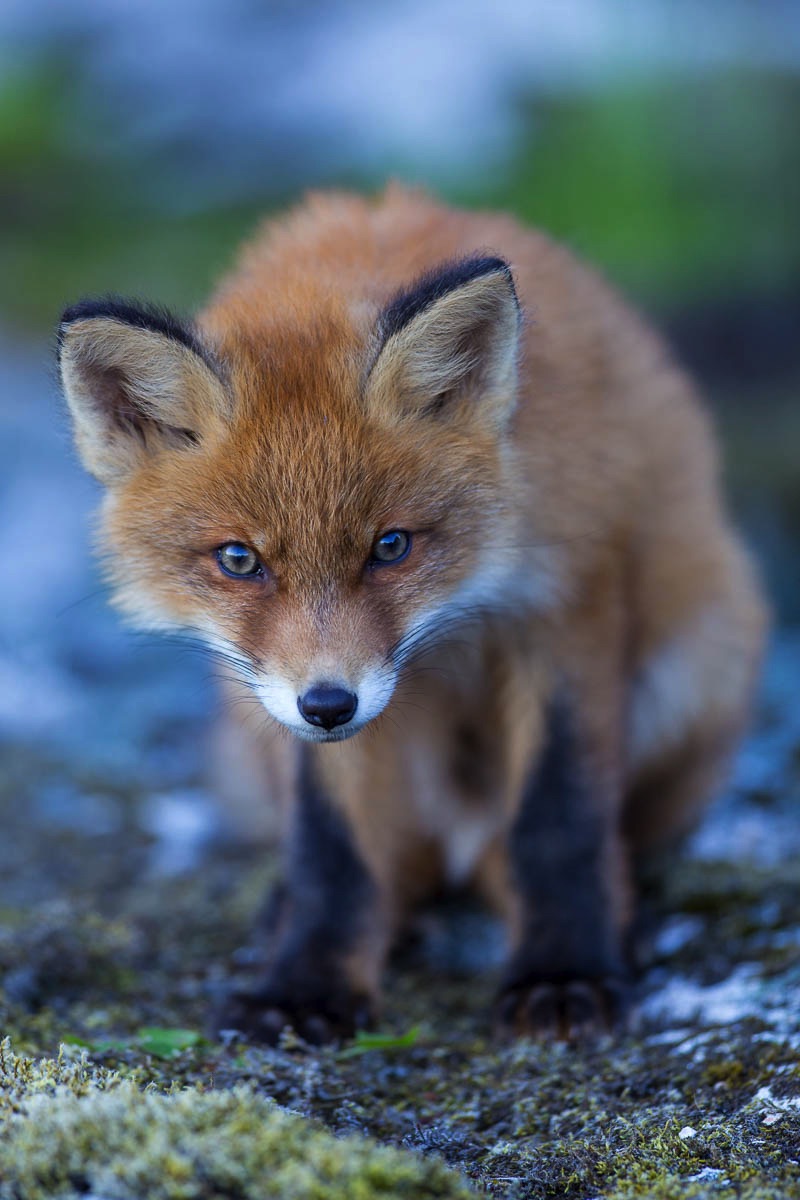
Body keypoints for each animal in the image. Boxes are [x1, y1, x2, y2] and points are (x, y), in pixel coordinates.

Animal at [59, 184, 767, 1041]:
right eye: (239, 560)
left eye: (390, 546)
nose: (330, 705)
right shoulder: (300, 698)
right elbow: (331, 851)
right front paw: (306, 986)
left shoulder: (566, 602)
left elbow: (558, 820)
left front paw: (566, 969)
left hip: (700, 662)